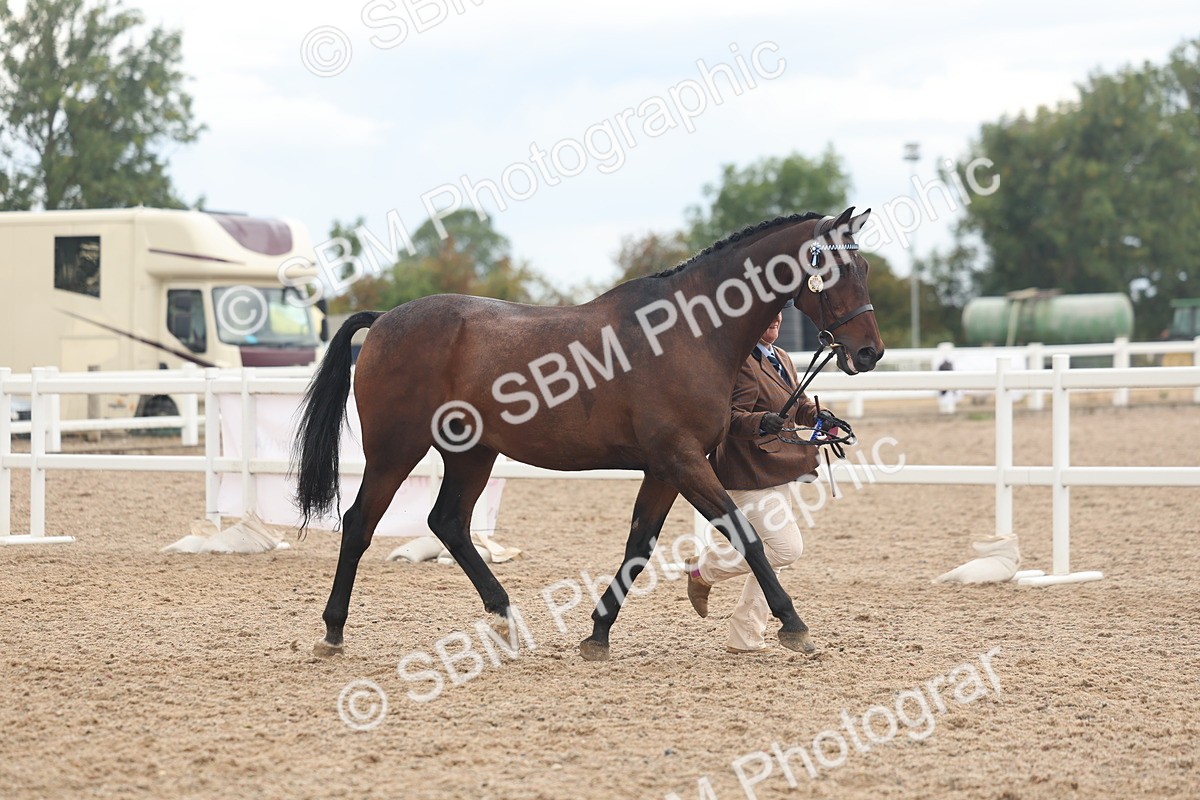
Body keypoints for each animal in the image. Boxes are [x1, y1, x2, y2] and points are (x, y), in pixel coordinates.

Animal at [294, 206, 884, 661]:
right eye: (834, 269)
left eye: (865, 267)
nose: (869, 352)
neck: (689, 332)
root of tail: (385, 319)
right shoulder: (683, 461)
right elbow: (747, 536)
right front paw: (794, 626)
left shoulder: (666, 468)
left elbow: (639, 545)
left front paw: (598, 633)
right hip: (395, 451)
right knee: (360, 524)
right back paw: (333, 632)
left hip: (473, 453)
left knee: (449, 523)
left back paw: (508, 621)